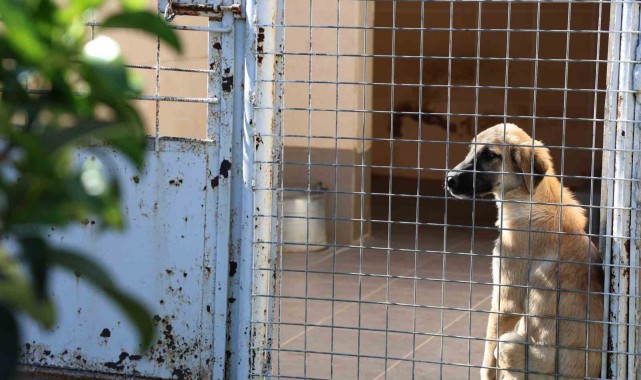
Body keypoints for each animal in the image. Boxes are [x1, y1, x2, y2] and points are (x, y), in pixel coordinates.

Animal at [442, 123, 604, 378]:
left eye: (489, 155)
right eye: (471, 151)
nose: (449, 179)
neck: (529, 198)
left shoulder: (506, 300)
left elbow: (489, 355)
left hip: (509, 345)